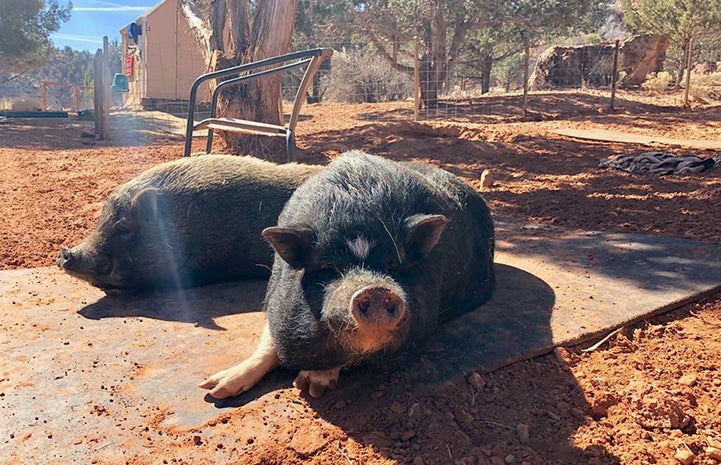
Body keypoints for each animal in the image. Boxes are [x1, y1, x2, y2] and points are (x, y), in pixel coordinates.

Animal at [202, 152, 496, 398]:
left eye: (392, 267)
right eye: (329, 268)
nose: (374, 289)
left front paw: (310, 387)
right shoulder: (276, 300)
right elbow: (269, 342)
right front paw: (213, 391)